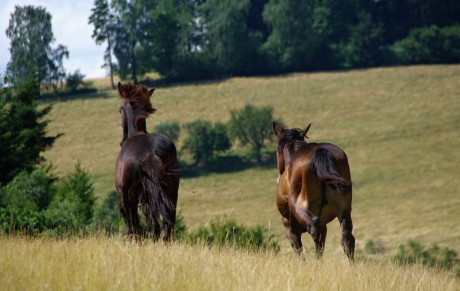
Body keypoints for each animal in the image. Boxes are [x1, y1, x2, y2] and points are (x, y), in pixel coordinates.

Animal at [115, 82, 180, 242]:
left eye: (120, 110)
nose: (121, 141)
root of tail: (150, 153)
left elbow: (131, 221)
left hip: (131, 196)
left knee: (136, 224)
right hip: (170, 191)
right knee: (166, 224)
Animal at [274, 122, 356, 262]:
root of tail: (321, 150)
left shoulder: (290, 229)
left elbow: (299, 252)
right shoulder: (324, 226)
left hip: (301, 208)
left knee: (314, 229)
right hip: (344, 210)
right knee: (347, 238)